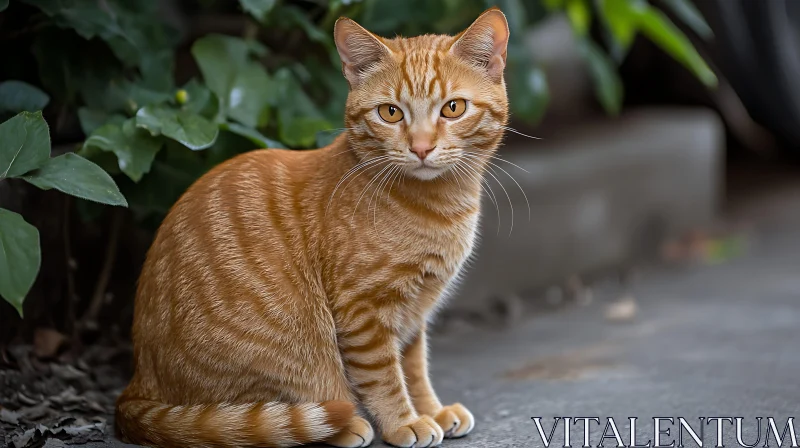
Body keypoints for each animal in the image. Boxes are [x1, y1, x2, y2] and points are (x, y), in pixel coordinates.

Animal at [115, 7, 510, 448]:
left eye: (453, 108)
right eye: (391, 112)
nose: (421, 148)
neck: (439, 205)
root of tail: (136, 385)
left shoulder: (414, 313)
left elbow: (414, 368)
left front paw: (432, 410)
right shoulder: (363, 312)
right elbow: (385, 378)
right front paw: (404, 422)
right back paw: (345, 425)